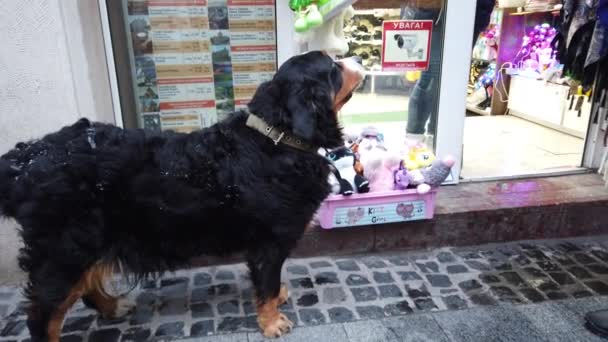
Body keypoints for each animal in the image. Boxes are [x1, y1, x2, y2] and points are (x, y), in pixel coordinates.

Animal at [0, 51, 360, 342]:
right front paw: (272, 322)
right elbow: (267, 283)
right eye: (333, 67)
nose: (356, 56)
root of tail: (28, 158)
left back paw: (113, 306)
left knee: (87, 286)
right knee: (44, 313)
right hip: (66, 249)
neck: (278, 139)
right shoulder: (270, 241)